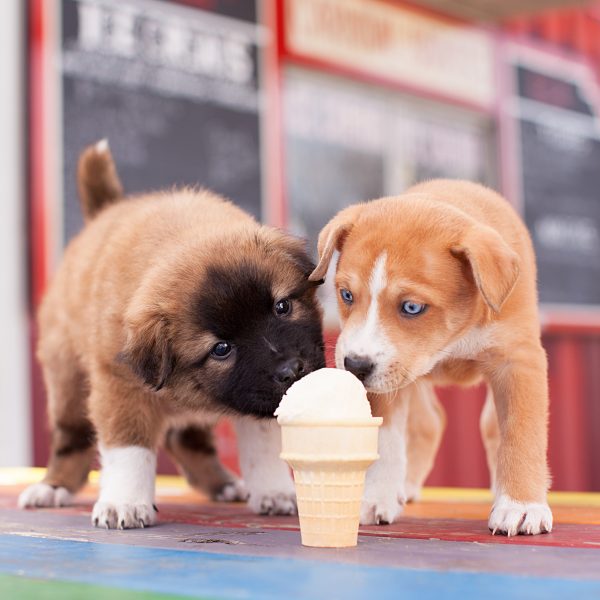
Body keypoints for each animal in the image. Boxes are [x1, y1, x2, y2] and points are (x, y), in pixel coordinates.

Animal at [19, 139, 328, 524]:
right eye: (221, 348)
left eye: (282, 307)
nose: (291, 370)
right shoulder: (120, 387)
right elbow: (129, 448)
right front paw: (124, 502)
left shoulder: (259, 397)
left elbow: (263, 445)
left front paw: (274, 491)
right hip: (67, 382)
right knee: (71, 440)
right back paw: (53, 487)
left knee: (187, 440)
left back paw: (223, 484)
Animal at [312, 178, 556, 536]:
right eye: (346, 295)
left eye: (412, 307)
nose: (354, 366)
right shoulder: (386, 379)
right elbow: (385, 440)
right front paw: (376, 497)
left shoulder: (519, 361)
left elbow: (520, 433)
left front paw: (521, 506)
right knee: (429, 422)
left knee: (488, 427)